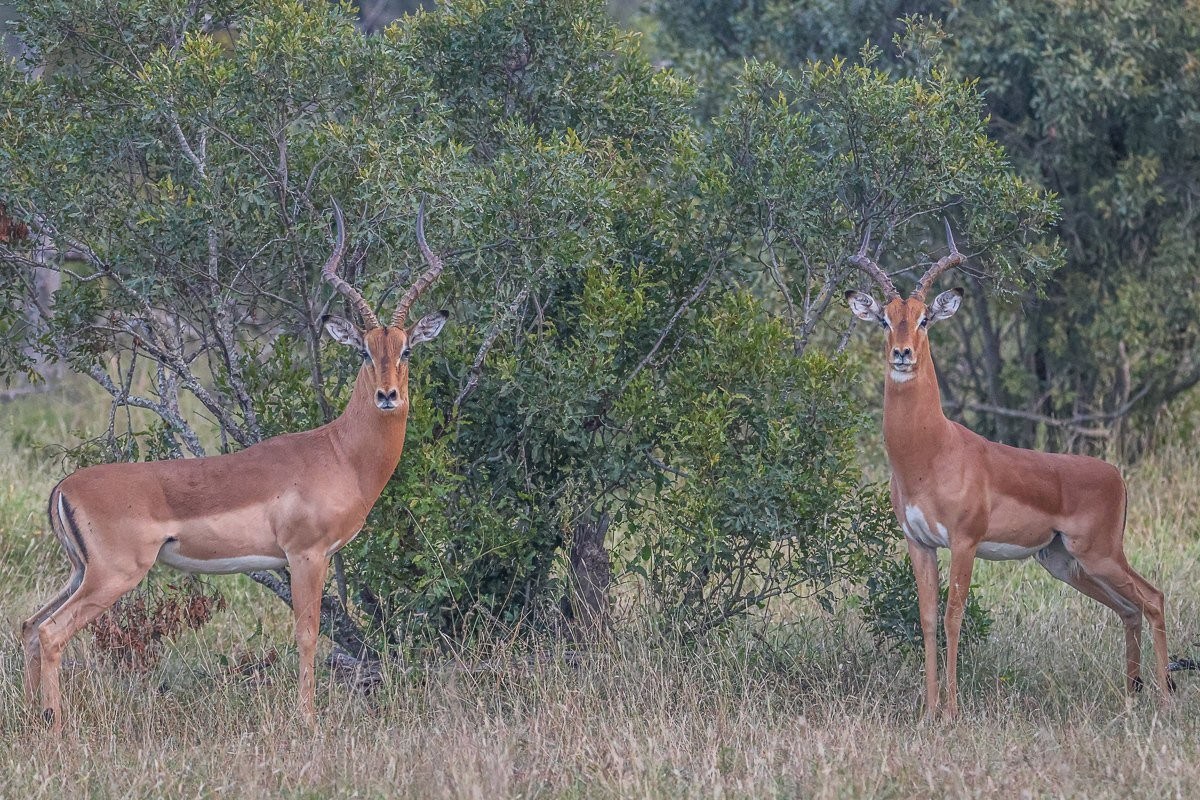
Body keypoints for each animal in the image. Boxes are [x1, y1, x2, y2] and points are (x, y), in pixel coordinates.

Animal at [21, 202, 449, 731]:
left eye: (405, 348)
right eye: (364, 350)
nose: (388, 396)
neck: (341, 453)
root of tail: (63, 487)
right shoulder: (306, 556)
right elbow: (307, 635)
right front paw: (307, 720)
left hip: (80, 572)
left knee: (29, 625)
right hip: (113, 576)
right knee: (51, 632)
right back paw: (54, 724)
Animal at [845, 223, 1171, 718]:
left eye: (924, 318)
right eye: (885, 318)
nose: (902, 354)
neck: (930, 454)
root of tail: (1115, 475)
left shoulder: (964, 542)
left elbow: (953, 616)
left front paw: (952, 711)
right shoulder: (920, 543)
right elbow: (926, 617)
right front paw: (928, 711)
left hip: (1099, 554)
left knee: (1153, 598)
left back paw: (1166, 699)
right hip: (1065, 562)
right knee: (1130, 609)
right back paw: (1132, 697)